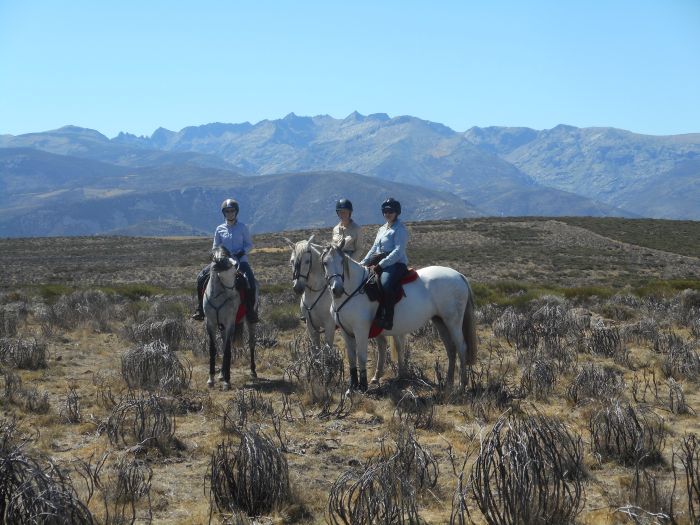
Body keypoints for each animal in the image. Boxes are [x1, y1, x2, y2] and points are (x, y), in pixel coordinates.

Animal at [202, 246, 258, 388]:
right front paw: (211, 379)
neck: (217, 297)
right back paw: (221, 374)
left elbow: (227, 350)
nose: (234, 296)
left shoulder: (229, 324)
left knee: (252, 344)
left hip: (250, 321)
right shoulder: (210, 323)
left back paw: (253, 372)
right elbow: (213, 349)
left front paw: (227, 381)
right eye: (226, 270)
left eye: (236, 274)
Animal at [284, 235, 394, 390]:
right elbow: (315, 350)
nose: (297, 288)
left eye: (307, 261)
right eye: (292, 261)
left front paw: (328, 372)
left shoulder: (329, 326)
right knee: (382, 344)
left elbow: (327, 349)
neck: (315, 294)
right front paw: (316, 371)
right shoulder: (311, 326)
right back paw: (376, 377)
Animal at [314, 241, 478, 388]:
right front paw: (352, 387)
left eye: (342, 261)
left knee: (461, 347)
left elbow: (361, 357)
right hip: (440, 321)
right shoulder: (346, 332)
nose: (337, 289)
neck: (354, 290)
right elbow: (352, 358)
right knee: (451, 348)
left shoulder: (361, 330)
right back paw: (449, 383)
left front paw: (363, 386)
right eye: (325, 263)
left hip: (453, 322)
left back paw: (462, 385)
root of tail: (459, 275)